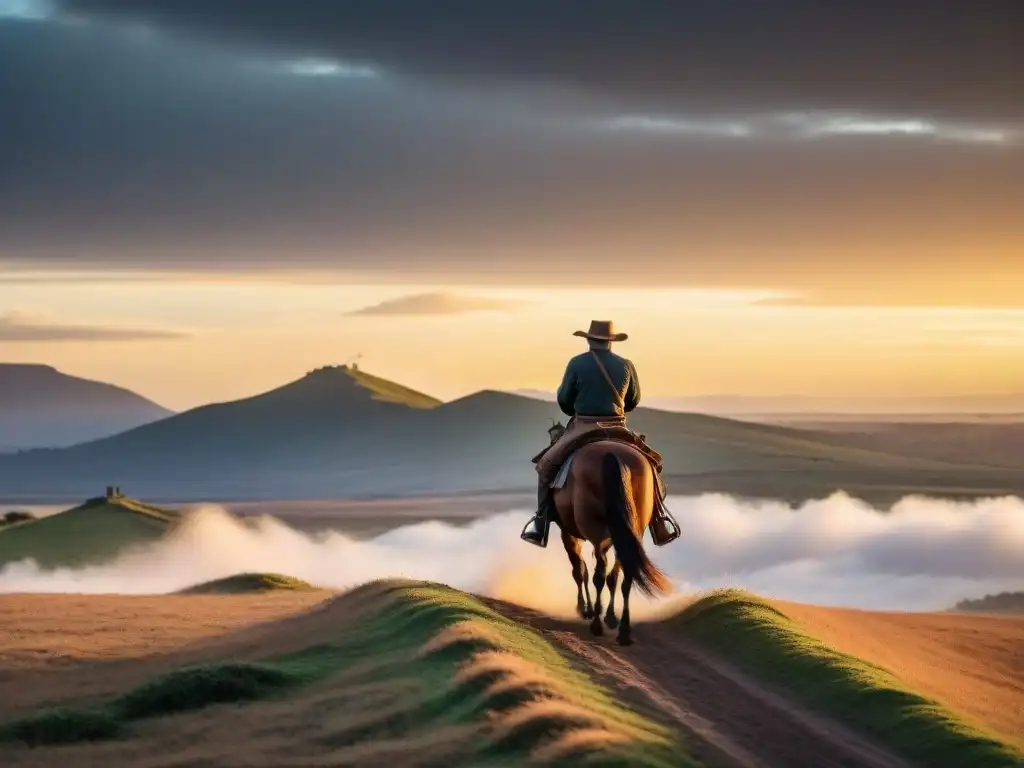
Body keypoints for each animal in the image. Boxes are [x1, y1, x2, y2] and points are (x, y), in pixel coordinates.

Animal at [552, 438, 671, 643]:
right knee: (625, 575)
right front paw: (607, 615)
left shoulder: (569, 534)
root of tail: (612, 453)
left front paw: (585, 609)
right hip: (632, 529)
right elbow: (610, 576)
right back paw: (623, 630)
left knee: (598, 574)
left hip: (595, 532)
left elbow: (580, 571)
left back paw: (597, 625)